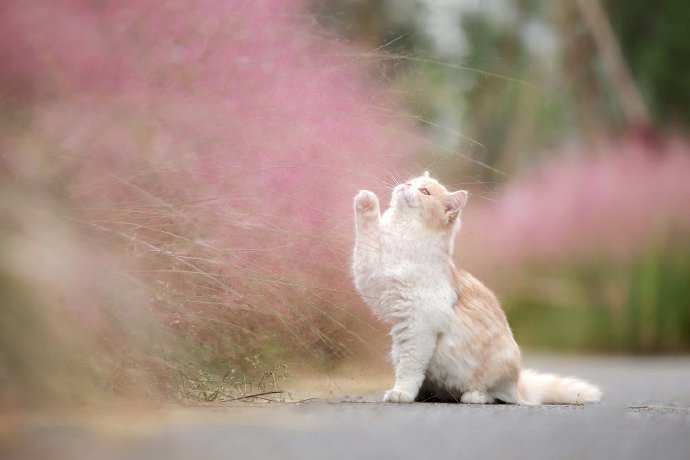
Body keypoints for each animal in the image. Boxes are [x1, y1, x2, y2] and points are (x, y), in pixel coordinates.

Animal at [352, 171, 600, 404]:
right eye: (410, 182)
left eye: (424, 191)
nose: (404, 185)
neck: (404, 236)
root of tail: (519, 385)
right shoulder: (370, 275)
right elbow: (366, 237)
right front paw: (365, 202)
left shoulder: (418, 326)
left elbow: (409, 369)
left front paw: (401, 393)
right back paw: (427, 395)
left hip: (494, 370)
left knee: (495, 395)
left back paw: (473, 396)